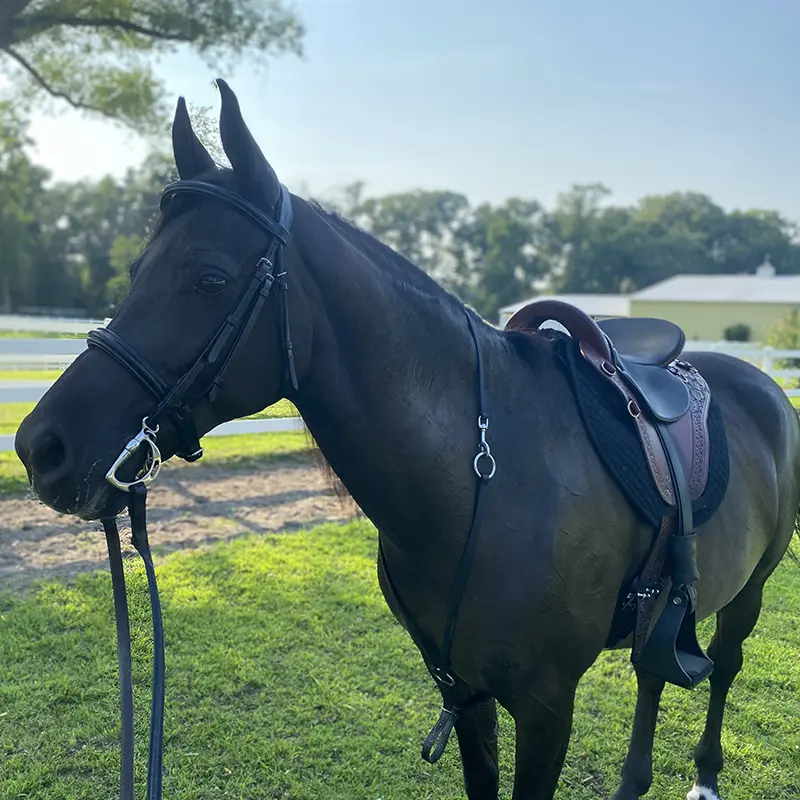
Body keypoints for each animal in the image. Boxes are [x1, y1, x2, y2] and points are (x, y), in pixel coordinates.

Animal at [14, 79, 800, 800]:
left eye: (209, 277)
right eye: (136, 269)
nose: (40, 448)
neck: (484, 480)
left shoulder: (546, 706)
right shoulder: (464, 692)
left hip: (751, 593)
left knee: (722, 668)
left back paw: (704, 776)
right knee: (651, 674)